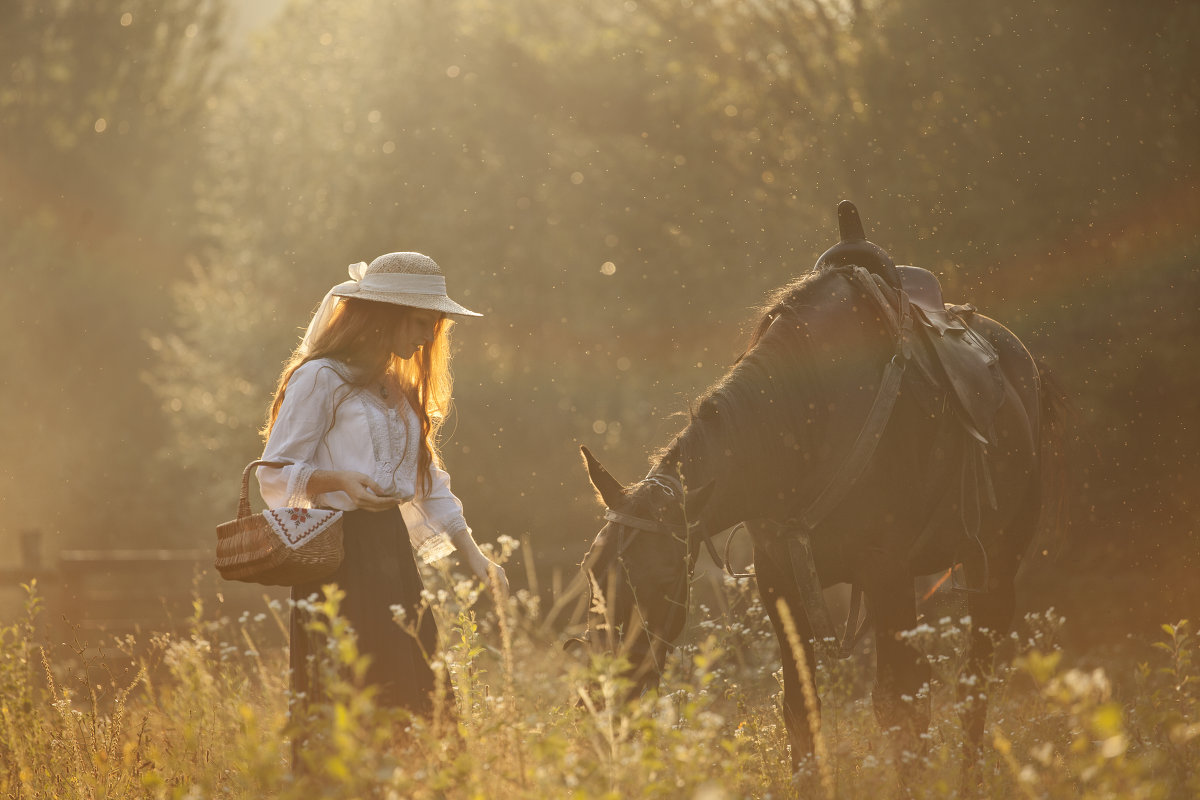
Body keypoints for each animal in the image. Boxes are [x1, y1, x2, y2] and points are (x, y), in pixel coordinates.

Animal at [576, 201, 1065, 786]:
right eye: (591, 570)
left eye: (662, 580)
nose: (606, 699)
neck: (807, 428)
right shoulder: (779, 581)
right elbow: (799, 710)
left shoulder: (886, 573)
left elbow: (899, 706)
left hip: (996, 561)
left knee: (974, 681)